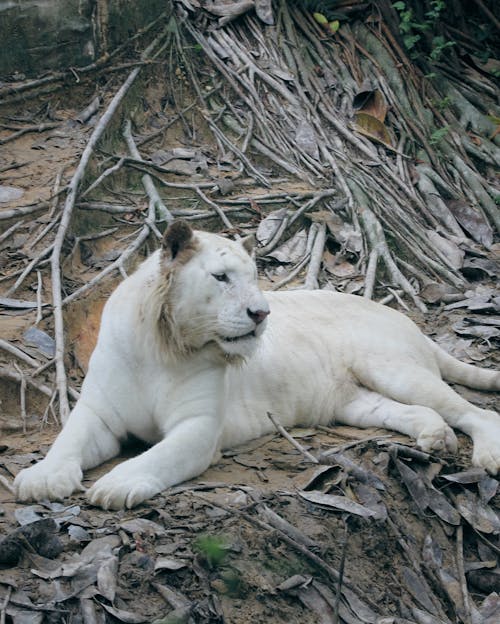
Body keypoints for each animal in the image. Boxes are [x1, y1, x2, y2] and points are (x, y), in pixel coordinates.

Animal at [13, 219, 498, 508]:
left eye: (254, 278)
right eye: (222, 277)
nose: (262, 313)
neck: (163, 347)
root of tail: (404, 318)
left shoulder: (199, 427)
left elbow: (159, 456)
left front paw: (115, 486)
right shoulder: (99, 413)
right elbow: (67, 440)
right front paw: (39, 479)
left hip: (392, 368)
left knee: (474, 412)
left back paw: (486, 453)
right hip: (355, 402)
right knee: (413, 411)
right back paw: (435, 439)